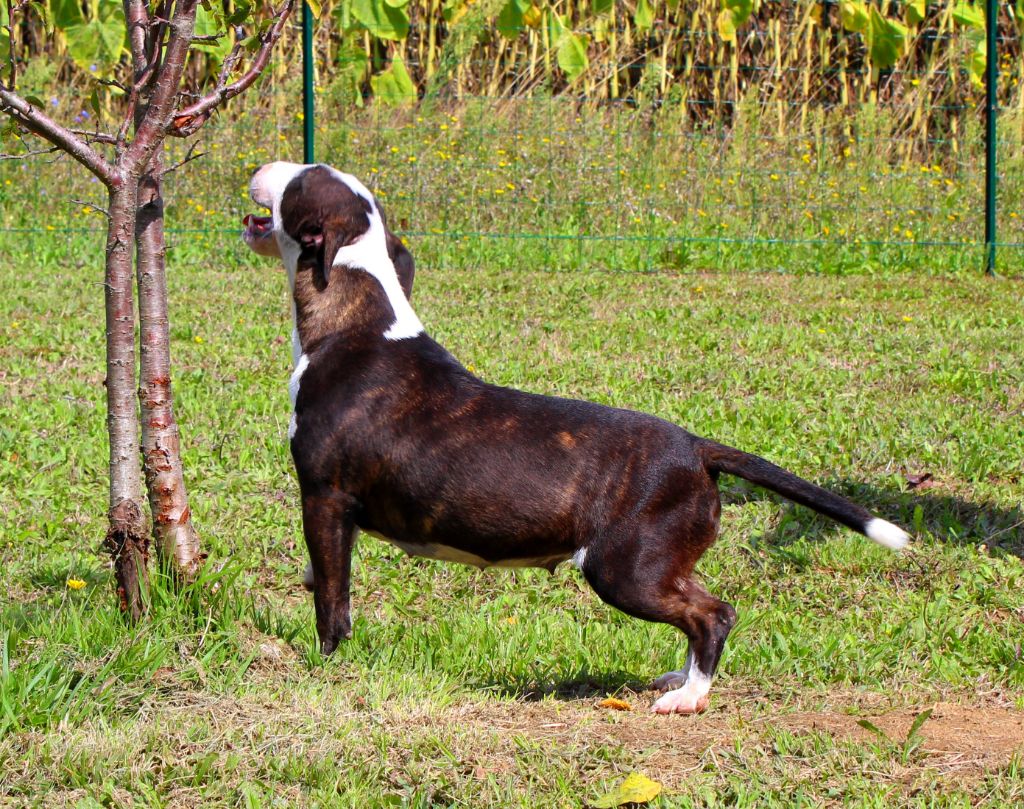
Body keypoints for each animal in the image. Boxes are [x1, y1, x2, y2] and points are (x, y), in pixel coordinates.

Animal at [241, 162, 913, 716]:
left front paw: (325, 663)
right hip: (657, 562)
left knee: (714, 614)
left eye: (301, 177)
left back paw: (689, 697)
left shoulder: (325, 496)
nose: (262, 166)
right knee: (701, 606)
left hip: (623, 567)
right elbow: (323, 575)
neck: (360, 321)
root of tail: (696, 447)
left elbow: (333, 597)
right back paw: (680, 679)